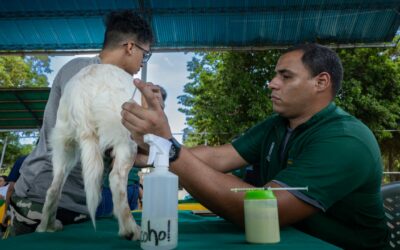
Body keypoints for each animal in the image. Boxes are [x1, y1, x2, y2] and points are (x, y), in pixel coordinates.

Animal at [36, 64, 141, 240]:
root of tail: (83, 89)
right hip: (126, 139)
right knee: (116, 179)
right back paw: (130, 230)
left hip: (64, 147)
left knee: (53, 190)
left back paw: (47, 227)